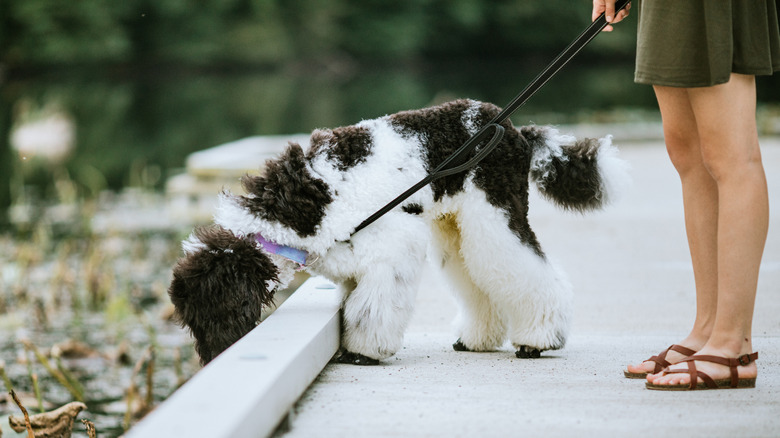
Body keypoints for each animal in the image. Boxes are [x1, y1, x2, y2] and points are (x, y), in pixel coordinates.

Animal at [169, 99, 628, 366]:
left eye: (211, 313)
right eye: (191, 321)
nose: (213, 358)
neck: (301, 209)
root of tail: (515, 129)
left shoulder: (392, 246)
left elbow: (373, 307)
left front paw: (364, 351)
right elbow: (358, 302)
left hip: (496, 216)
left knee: (530, 273)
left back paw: (539, 340)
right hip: (455, 226)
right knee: (477, 281)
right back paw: (477, 339)